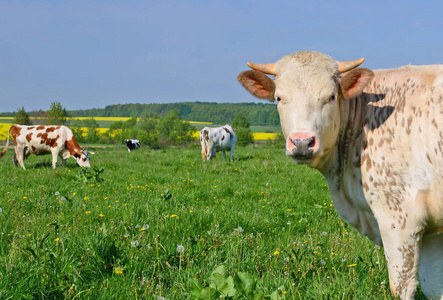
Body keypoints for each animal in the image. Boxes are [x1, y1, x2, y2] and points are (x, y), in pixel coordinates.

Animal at [239, 50, 443, 298]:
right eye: (279, 98)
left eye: (331, 96)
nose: (302, 143)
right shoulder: (432, 229)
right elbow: (435, 285)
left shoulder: (401, 217)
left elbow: (401, 287)